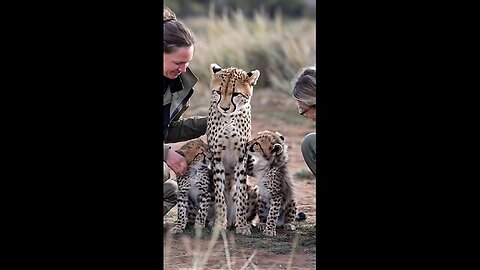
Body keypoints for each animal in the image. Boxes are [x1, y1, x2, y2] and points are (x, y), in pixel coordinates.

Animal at [205, 63, 260, 236]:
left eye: (235, 94)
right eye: (218, 92)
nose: (224, 108)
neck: (229, 118)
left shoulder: (241, 158)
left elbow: (241, 194)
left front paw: (242, 225)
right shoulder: (216, 157)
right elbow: (220, 195)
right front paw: (219, 225)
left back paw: (242, 222)